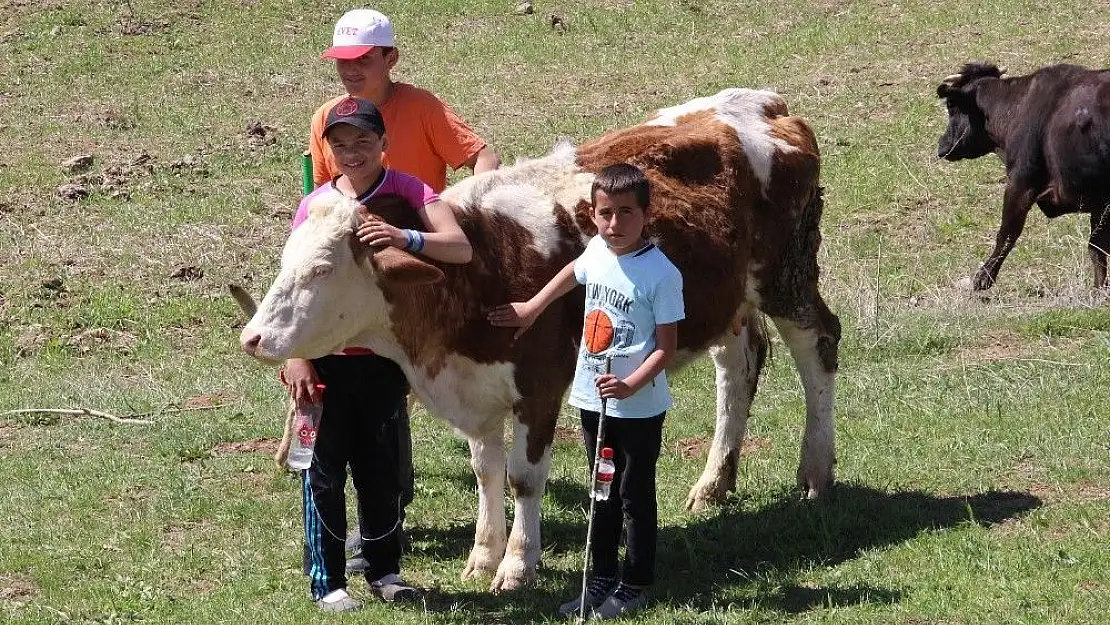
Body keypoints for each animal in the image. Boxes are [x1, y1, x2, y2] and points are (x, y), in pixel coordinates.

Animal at [236, 88, 839, 590]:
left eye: (320, 270)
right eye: (286, 260)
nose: (254, 336)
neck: (478, 271)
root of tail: (767, 104)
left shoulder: (541, 386)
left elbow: (524, 477)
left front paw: (517, 566)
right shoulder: (475, 389)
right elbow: (486, 472)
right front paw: (483, 556)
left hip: (786, 276)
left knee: (819, 347)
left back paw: (816, 473)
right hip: (726, 297)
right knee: (739, 363)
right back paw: (714, 482)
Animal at [936, 61, 1110, 290]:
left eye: (950, 106)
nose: (941, 145)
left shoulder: (1021, 183)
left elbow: (1007, 234)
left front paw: (983, 278)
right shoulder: (1101, 202)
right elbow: (1097, 247)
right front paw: (1099, 289)